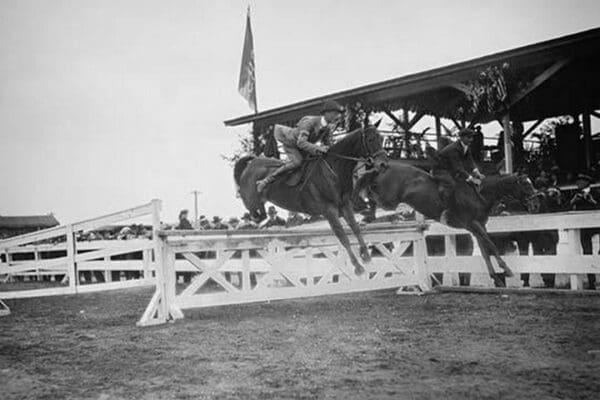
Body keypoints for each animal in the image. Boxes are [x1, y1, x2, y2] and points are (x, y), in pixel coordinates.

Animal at [232, 126, 386, 276]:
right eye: (370, 139)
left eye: (382, 138)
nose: (383, 164)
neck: (332, 171)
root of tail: (251, 164)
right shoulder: (329, 211)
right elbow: (343, 237)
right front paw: (358, 267)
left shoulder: (345, 206)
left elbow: (356, 229)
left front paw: (366, 256)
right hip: (250, 199)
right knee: (253, 210)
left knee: (261, 213)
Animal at [352, 160, 536, 288]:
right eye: (526, 184)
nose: (535, 201)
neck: (480, 195)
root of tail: (385, 167)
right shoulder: (472, 224)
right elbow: (491, 245)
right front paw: (507, 270)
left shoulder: (478, 227)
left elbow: (485, 252)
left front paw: (496, 278)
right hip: (389, 199)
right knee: (373, 194)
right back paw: (366, 212)